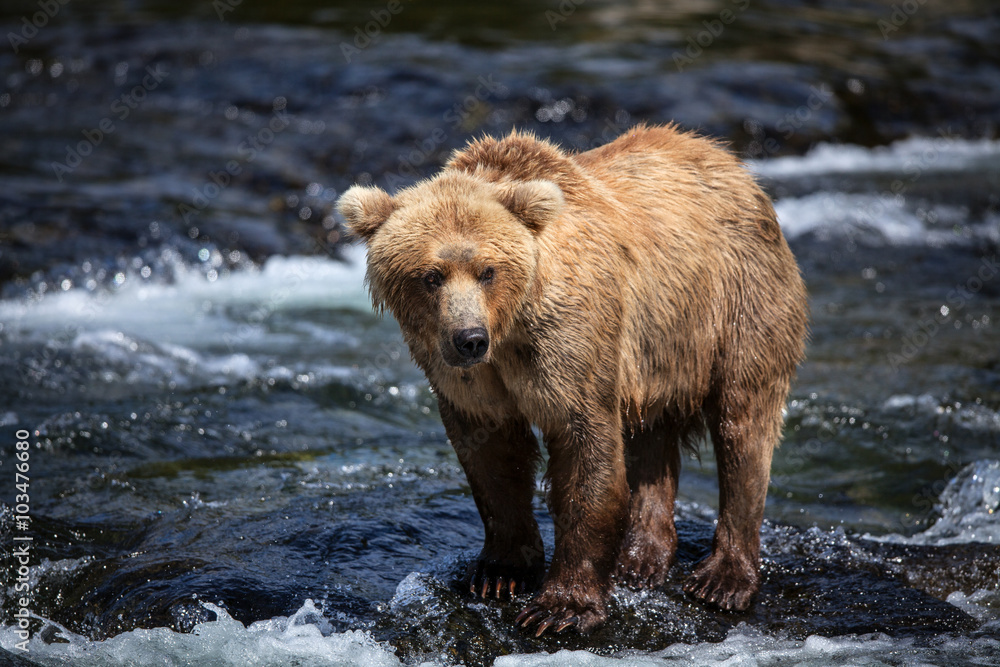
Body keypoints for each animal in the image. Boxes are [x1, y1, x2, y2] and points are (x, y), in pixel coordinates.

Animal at [340, 124, 808, 636]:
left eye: (487, 270)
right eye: (430, 275)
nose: (469, 339)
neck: (511, 327)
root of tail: (733, 164)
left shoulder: (571, 341)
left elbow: (586, 448)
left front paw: (560, 607)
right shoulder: (467, 378)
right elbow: (492, 456)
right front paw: (501, 572)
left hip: (735, 302)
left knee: (743, 425)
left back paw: (723, 579)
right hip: (657, 352)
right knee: (652, 437)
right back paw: (640, 558)